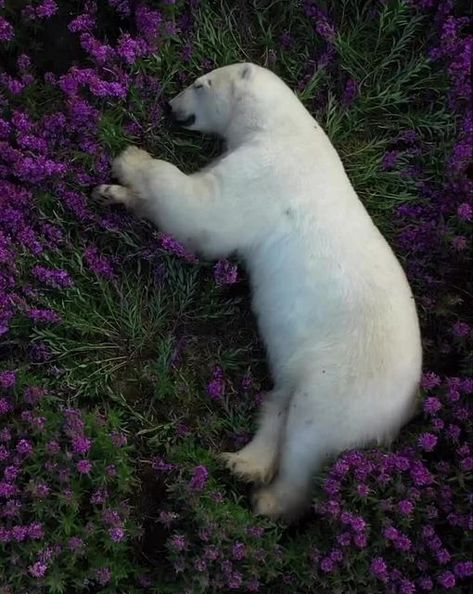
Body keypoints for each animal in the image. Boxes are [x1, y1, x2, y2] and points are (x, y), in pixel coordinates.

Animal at [94, 63, 422, 520]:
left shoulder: (266, 173)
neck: (283, 128)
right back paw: (242, 463)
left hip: (346, 383)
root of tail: (406, 409)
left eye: (200, 83)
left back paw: (269, 500)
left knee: (308, 436)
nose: (170, 106)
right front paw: (111, 193)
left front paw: (129, 159)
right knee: (279, 403)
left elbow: (203, 211)